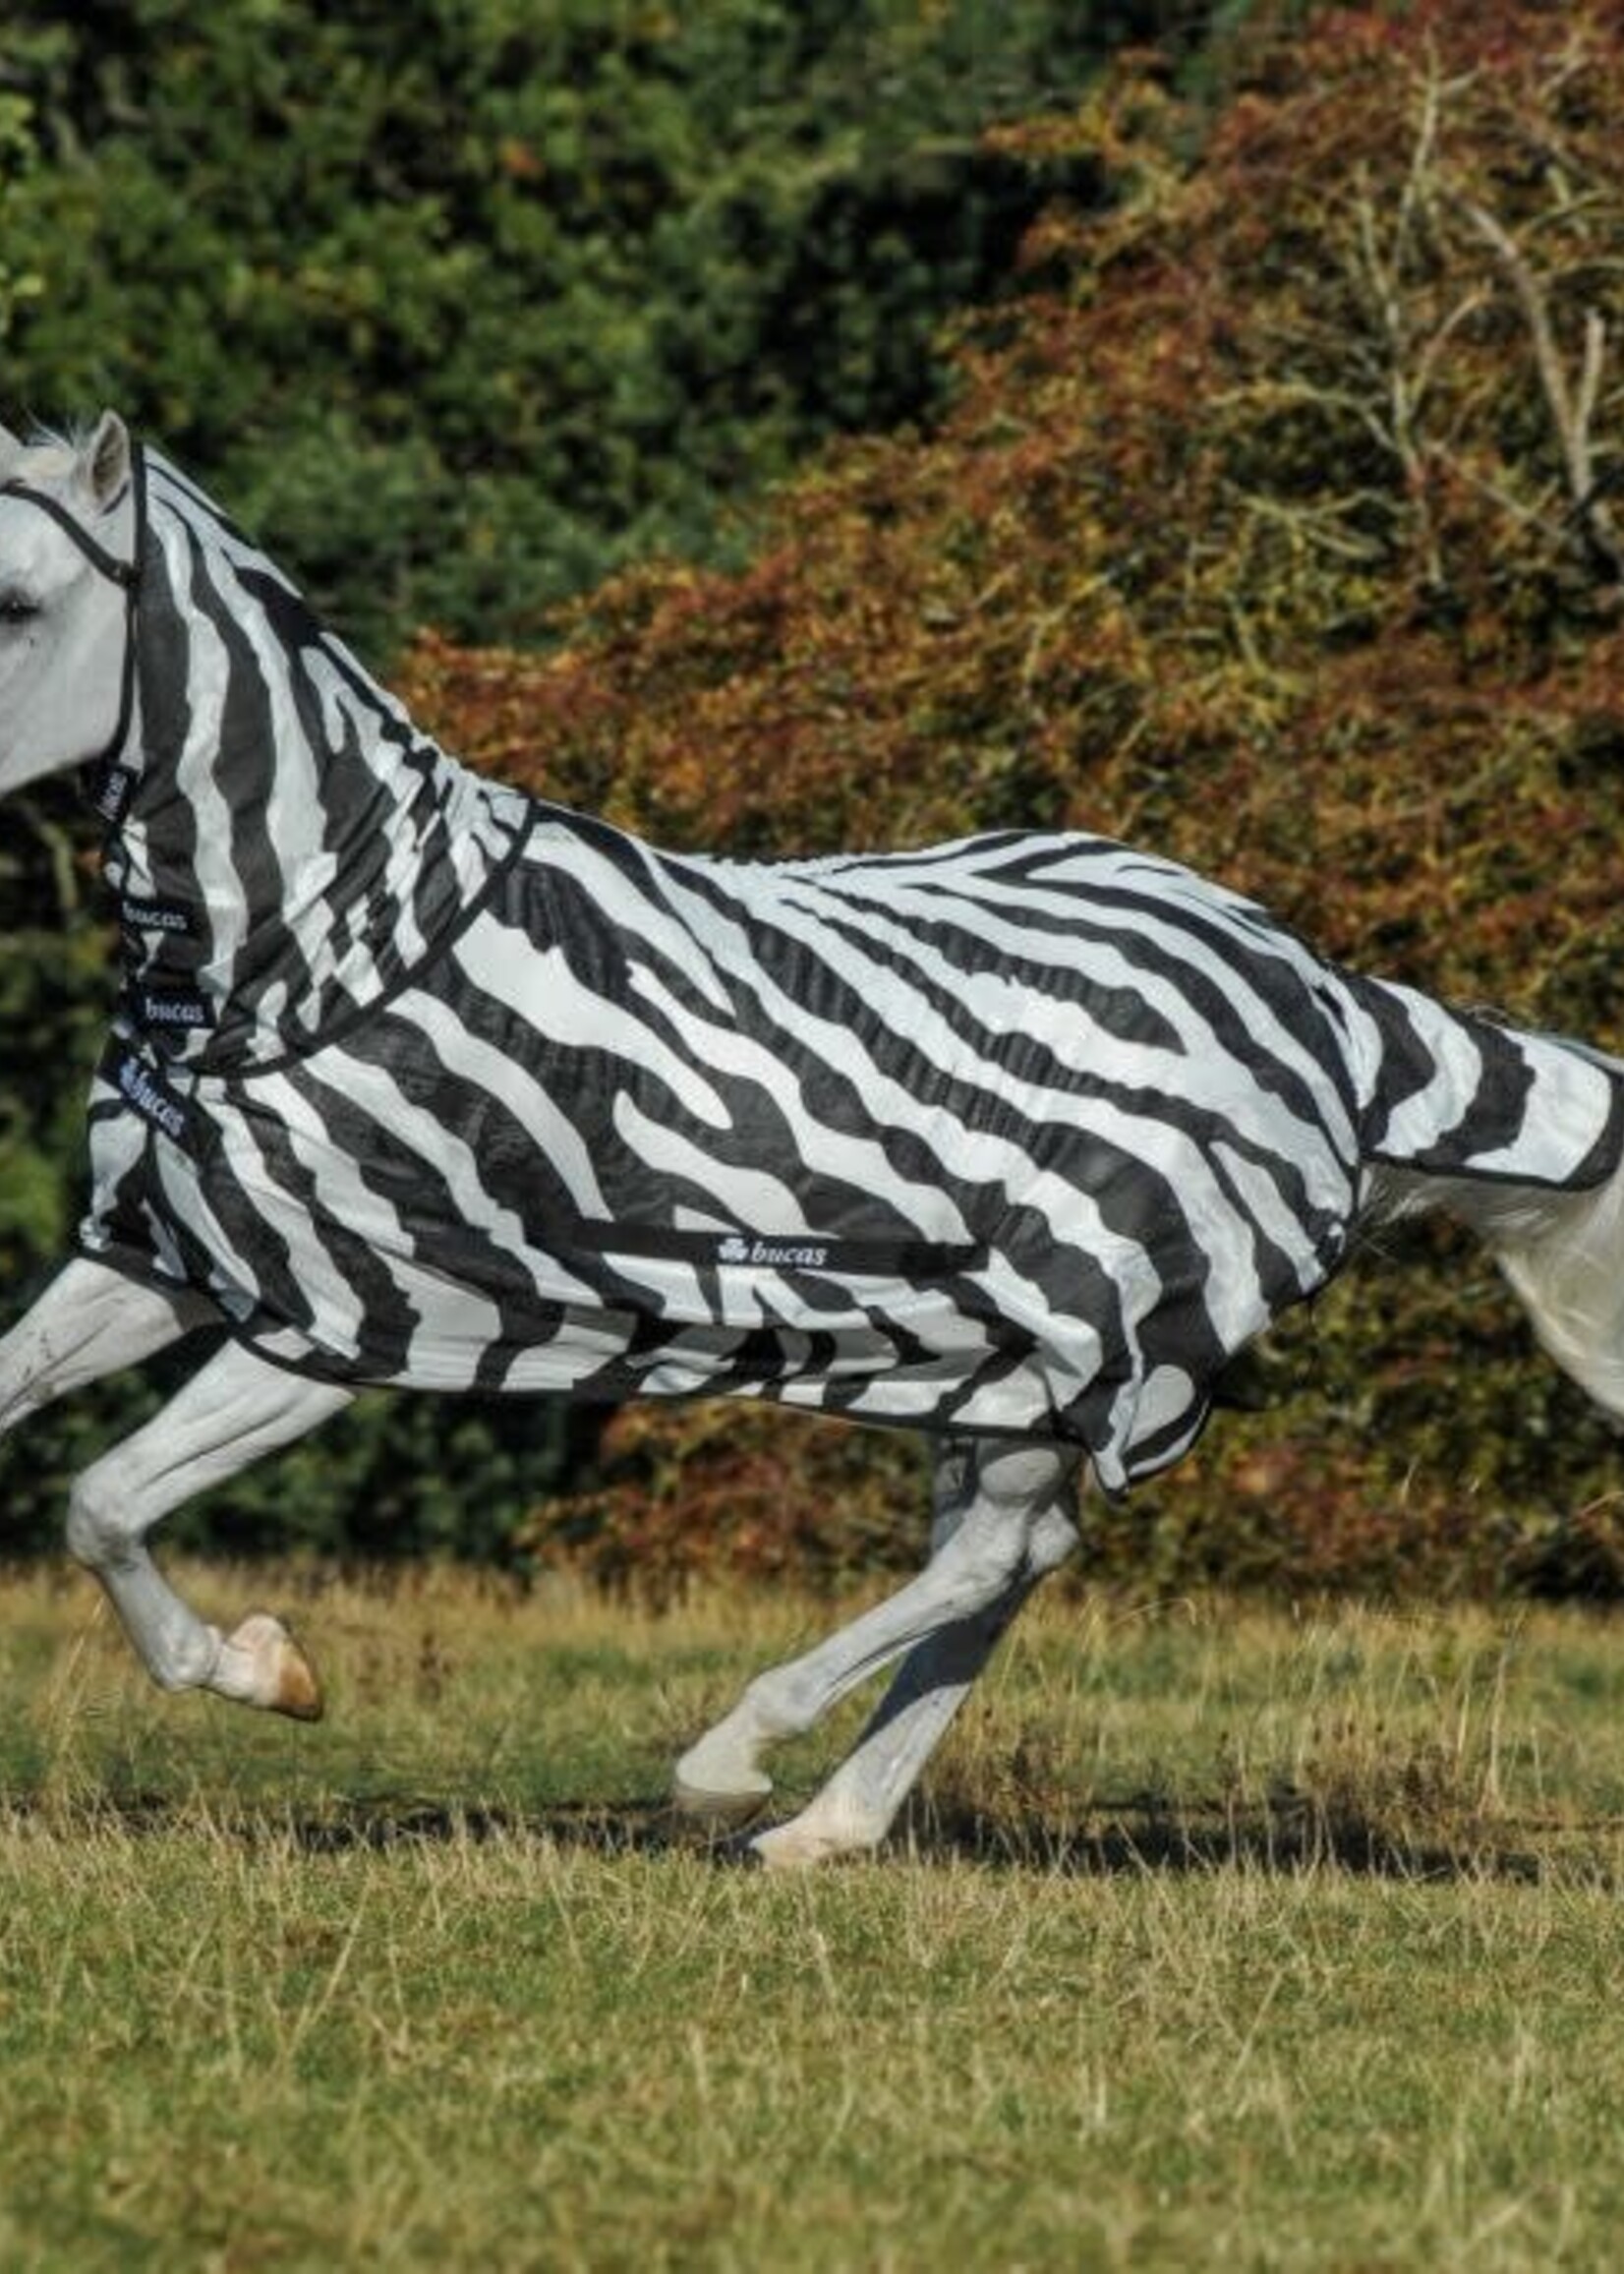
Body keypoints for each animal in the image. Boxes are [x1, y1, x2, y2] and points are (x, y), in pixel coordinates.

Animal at [1, 412, 1622, 1868]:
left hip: (1092, 1329)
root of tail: (1327, 999)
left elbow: (102, 1499)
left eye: (21, 605)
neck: (320, 944)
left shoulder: (351, 1313)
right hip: (995, 1355)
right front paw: (260, 1667)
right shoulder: (158, 1257)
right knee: (1011, 1557)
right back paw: (823, 1830)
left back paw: (733, 1766)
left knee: (997, 1551)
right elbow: (51, 1443)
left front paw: (271, 1671)